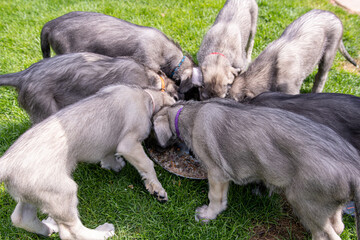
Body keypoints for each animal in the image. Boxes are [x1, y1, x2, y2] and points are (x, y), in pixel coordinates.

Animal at [0, 84, 175, 238]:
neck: (147, 96)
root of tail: (7, 164)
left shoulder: (109, 145)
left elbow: (109, 155)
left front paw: (115, 165)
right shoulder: (129, 144)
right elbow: (147, 165)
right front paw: (157, 190)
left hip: (32, 193)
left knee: (21, 218)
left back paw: (48, 228)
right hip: (61, 193)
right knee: (71, 232)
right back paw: (102, 233)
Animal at [153, 98, 360, 239]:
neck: (188, 113)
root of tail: (353, 169)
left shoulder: (216, 173)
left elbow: (215, 198)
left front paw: (207, 215)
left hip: (306, 203)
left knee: (327, 235)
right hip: (328, 205)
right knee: (338, 225)